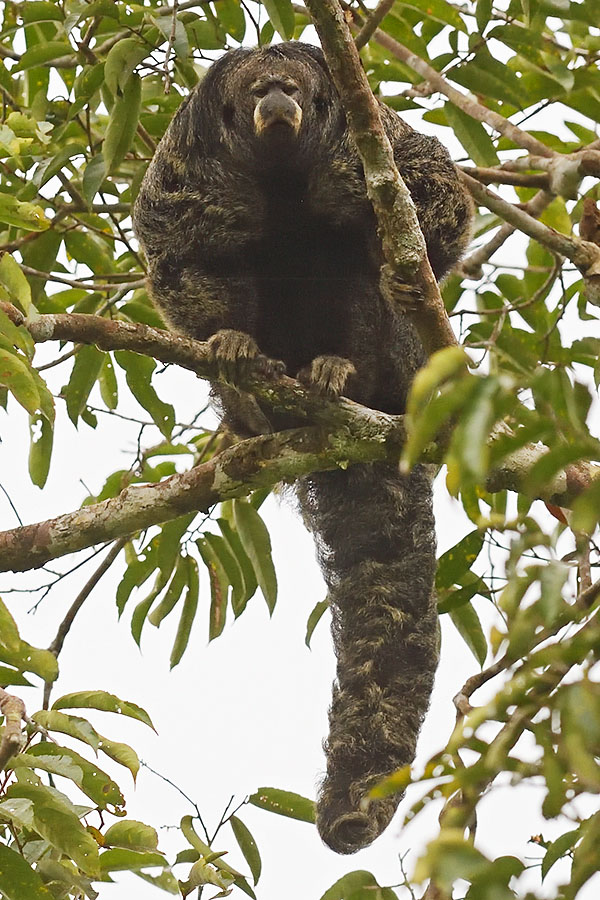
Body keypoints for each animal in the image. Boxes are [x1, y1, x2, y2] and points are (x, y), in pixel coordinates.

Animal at [133, 41, 473, 855]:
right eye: (259, 90)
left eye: (291, 86)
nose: (278, 99)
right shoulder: (191, 155)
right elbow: (178, 251)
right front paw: (227, 341)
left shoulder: (365, 133)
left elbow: (436, 198)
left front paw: (398, 259)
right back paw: (256, 396)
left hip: (406, 372)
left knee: (358, 271)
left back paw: (339, 373)